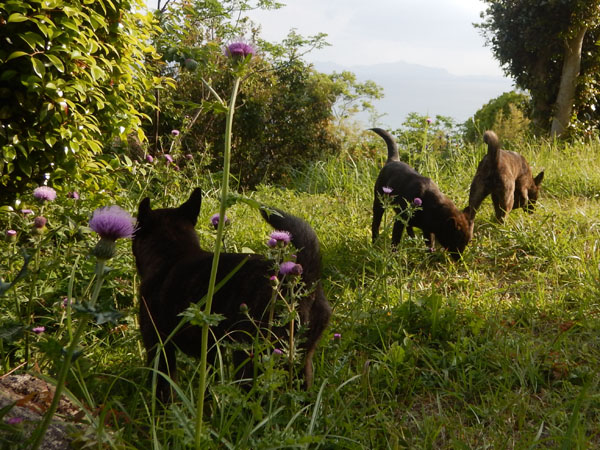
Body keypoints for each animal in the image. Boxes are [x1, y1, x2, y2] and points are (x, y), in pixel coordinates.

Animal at [132, 188, 331, 402]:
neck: (173, 253)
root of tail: (303, 281)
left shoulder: (157, 345)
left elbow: (163, 389)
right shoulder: (210, 352)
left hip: (250, 357)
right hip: (301, 360)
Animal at [370, 128, 474, 259]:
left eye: (467, 242)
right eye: (456, 241)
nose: (459, 259)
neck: (434, 208)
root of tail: (392, 160)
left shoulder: (427, 230)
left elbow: (430, 243)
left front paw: (429, 256)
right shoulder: (400, 220)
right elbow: (395, 240)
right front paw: (394, 256)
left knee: (409, 228)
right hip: (379, 202)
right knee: (376, 223)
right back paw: (375, 242)